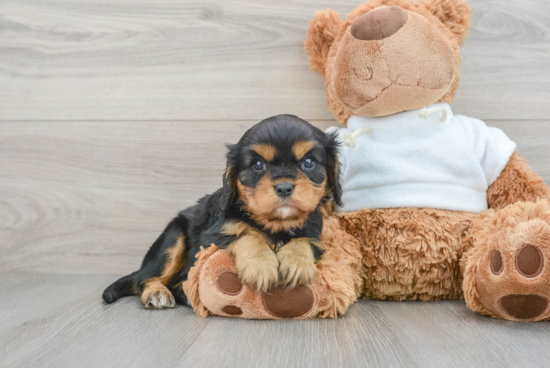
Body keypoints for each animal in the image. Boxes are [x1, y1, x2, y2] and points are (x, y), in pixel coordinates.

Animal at [102, 113, 342, 310]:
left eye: (309, 162)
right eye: (258, 165)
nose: (284, 187)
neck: (277, 223)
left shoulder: (315, 232)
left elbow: (305, 241)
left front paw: (297, 262)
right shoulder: (213, 235)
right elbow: (245, 232)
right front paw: (260, 265)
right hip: (173, 237)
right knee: (146, 279)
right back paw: (156, 293)